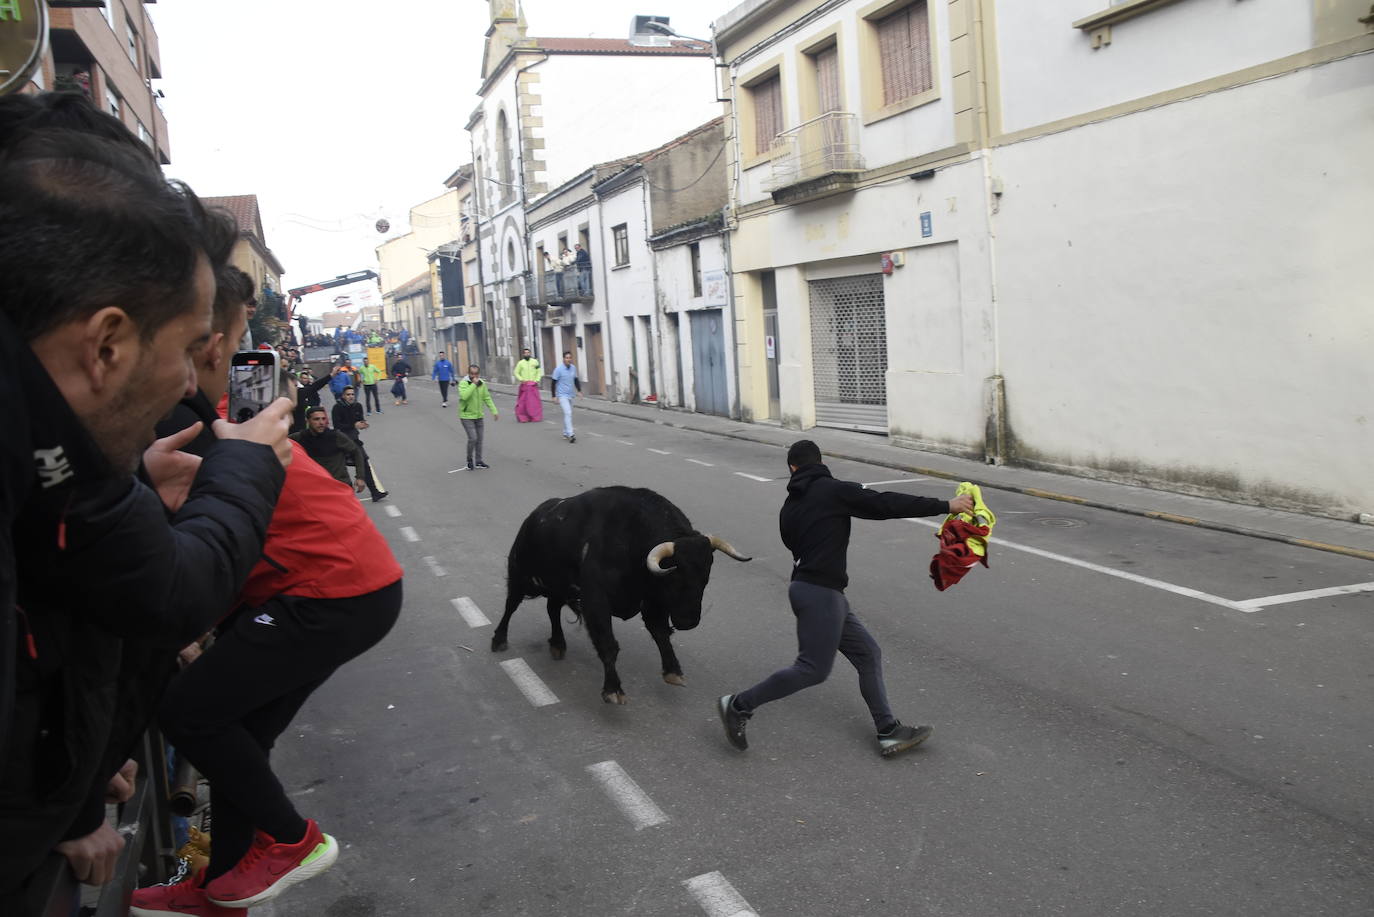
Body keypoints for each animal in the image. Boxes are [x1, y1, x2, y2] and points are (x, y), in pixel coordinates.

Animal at [491, 486, 752, 703]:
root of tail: (535, 516)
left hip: (559, 587)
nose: (688, 621)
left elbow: (661, 634)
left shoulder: (652, 602)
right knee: (511, 605)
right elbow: (608, 643)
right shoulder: (596, 600)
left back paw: (557, 644)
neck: (632, 540)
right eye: (675, 574)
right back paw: (499, 640)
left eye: (706, 574)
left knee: (552, 608)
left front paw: (673, 671)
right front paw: (613, 689)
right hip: (521, 576)